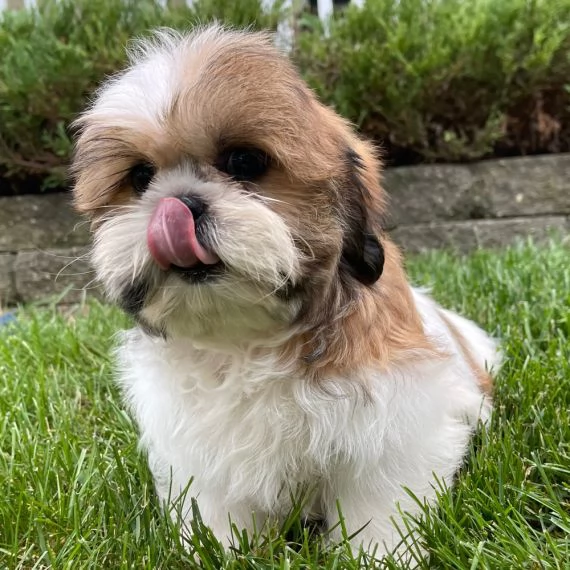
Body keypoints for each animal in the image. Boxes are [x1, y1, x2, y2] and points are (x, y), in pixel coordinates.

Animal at [70, 25, 496, 560]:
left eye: (245, 162)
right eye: (141, 176)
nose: (179, 204)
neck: (248, 339)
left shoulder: (391, 429)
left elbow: (378, 504)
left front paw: (379, 555)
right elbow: (216, 509)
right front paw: (217, 550)